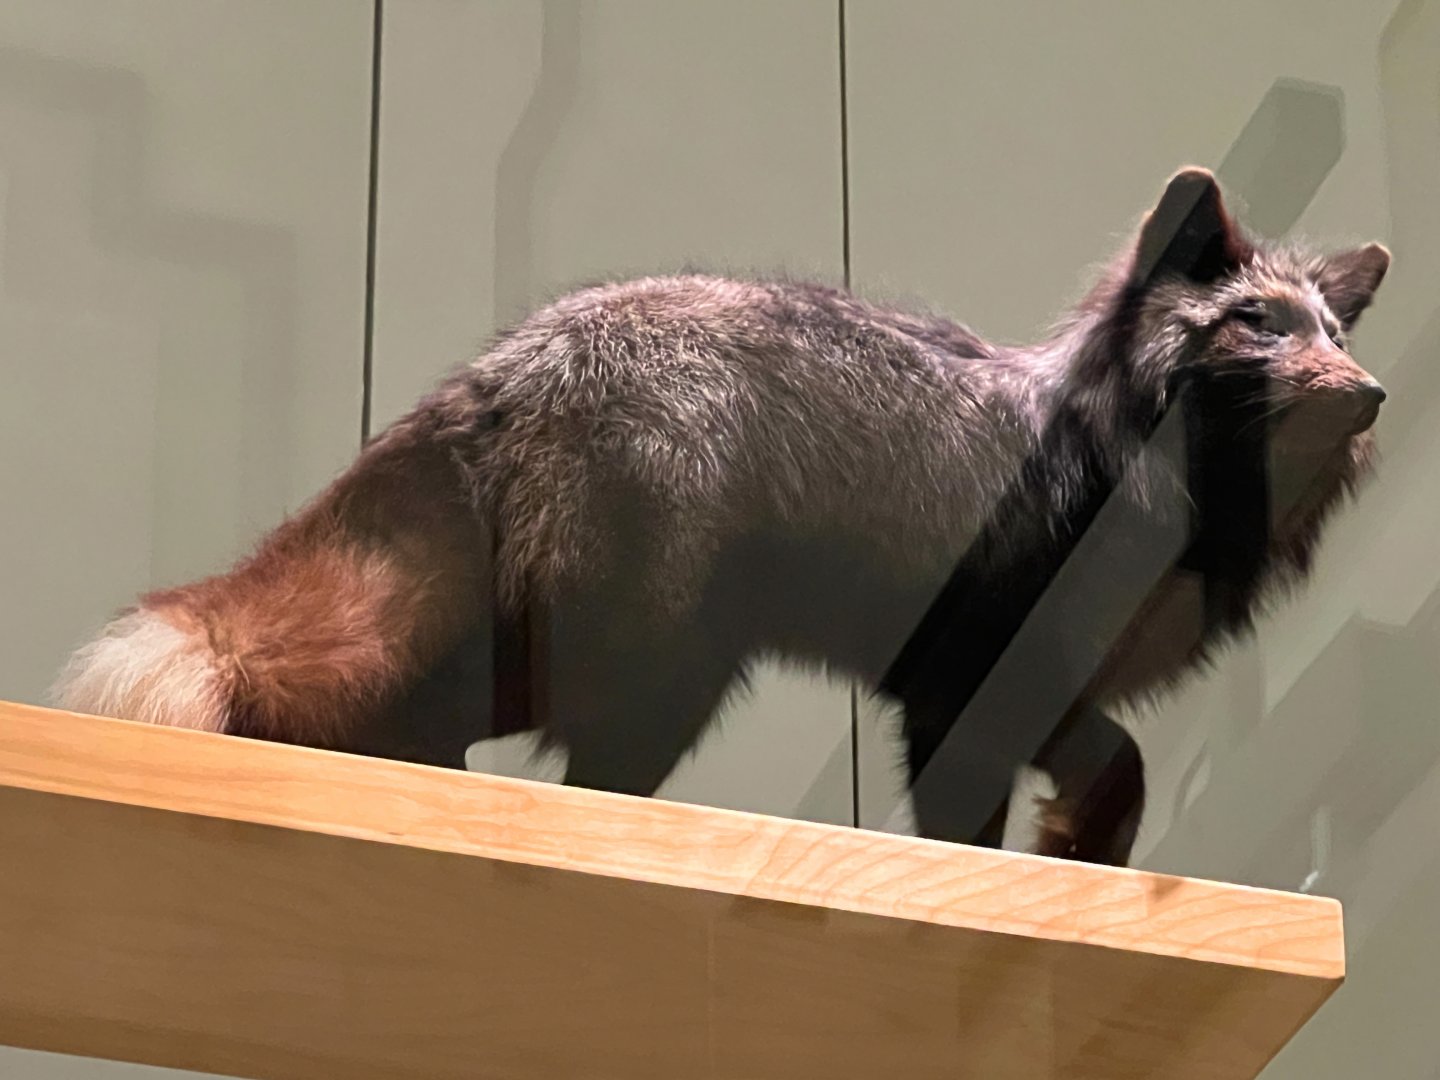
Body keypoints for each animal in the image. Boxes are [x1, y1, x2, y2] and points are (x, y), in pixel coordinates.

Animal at [52, 167, 1389, 867]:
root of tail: (516, 358)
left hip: (545, 654)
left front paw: (1085, 856)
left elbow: (1119, 769)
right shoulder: (955, 680)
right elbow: (966, 818)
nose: (1372, 392)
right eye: (1257, 324)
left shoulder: (1039, 685)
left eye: (1333, 331)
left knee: (398, 724)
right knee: (561, 772)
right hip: (660, 665)